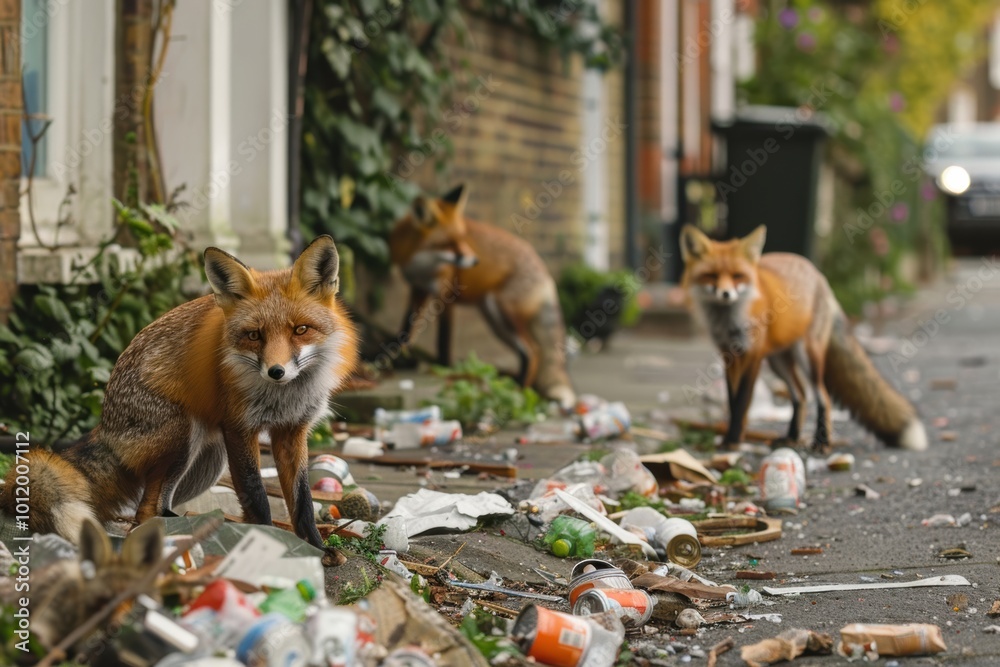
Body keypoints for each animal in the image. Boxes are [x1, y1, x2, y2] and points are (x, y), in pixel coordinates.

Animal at [0, 236, 357, 548]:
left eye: (301, 330)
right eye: (254, 335)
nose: (276, 371)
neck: (283, 399)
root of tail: (103, 426)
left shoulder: (292, 431)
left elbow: (302, 500)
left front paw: (317, 548)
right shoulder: (239, 428)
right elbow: (256, 495)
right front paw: (271, 540)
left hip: (208, 462)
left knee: (155, 504)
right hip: (184, 435)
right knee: (145, 510)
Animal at [389, 184, 576, 409]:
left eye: (463, 239)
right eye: (449, 243)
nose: (475, 261)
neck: (422, 264)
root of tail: (544, 271)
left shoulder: (446, 295)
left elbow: (443, 340)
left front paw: (444, 368)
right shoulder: (417, 289)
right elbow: (406, 328)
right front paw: (398, 356)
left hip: (503, 313)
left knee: (534, 352)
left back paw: (517, 392)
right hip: (495, 322)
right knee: (528, 354)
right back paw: (515, 386)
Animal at [680, 224, 928, 453]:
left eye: (737, 276)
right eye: (711, 276)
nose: (726, 294)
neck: (728, 320)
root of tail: (819, 275)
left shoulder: (753, 355)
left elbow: (741, 402)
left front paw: (732, 441)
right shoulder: (729, 355)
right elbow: (732, 402)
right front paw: (734, 437)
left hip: (808, 357)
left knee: (822, 397)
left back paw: (822, 442)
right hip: (778, 362)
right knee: (800, 396)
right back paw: (791, 437)